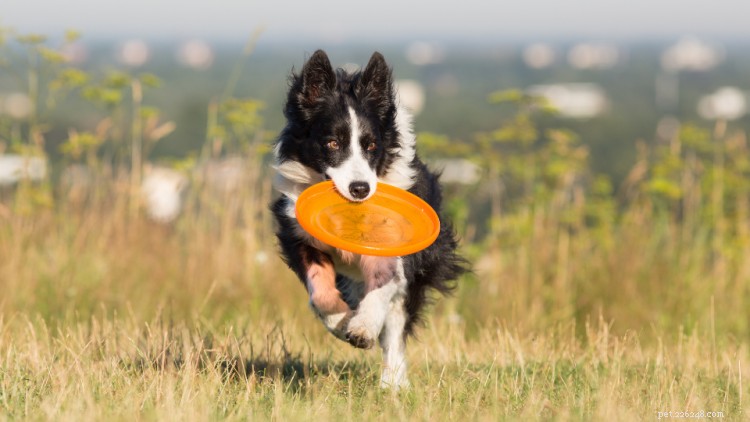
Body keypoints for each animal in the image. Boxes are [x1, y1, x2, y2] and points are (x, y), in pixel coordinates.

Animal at [274, 50, 468, 390]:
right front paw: (341, 321)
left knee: (396, 326)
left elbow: (384, 285)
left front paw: (362, 328)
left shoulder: (393, 247)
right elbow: (319, 293)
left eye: (371, 146)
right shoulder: (297, 234)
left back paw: (393, 384)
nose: (361, 189)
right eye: (332, 143)